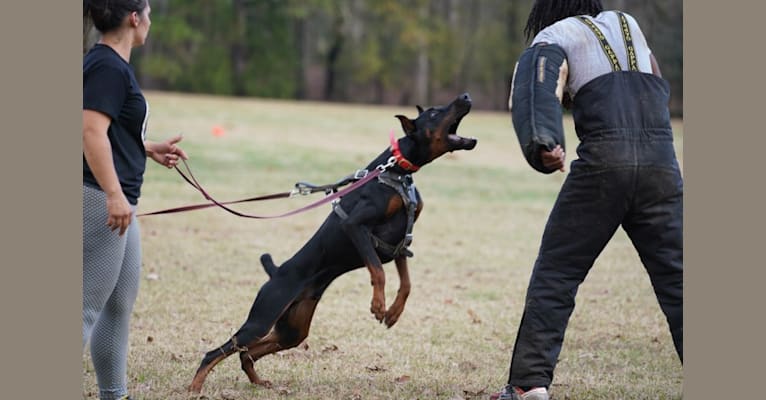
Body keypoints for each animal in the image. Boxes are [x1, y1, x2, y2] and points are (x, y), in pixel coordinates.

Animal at [189, 92, 476, 392]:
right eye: (433, 114)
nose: (466, 96)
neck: (396, 170)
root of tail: (275, 272)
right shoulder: (355, 227)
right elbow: (378, 270)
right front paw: (378, 305)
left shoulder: (400, 243)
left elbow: (406, 283)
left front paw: (394, 312)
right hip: (263, 317)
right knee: (218, 351)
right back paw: (195, 387)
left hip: (294, 328)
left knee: (248, 353)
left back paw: (259, 381)